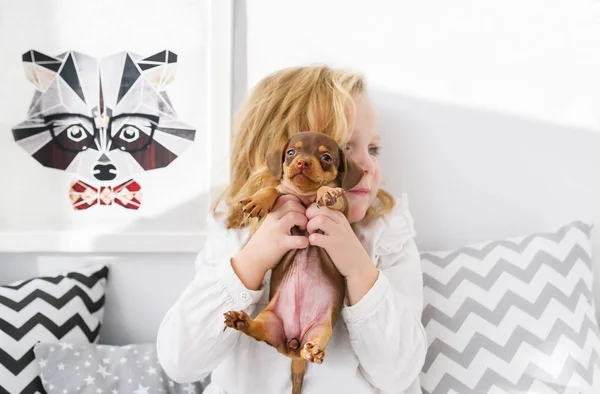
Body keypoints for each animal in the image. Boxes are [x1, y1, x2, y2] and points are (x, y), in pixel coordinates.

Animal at [224, 131, 360, 392]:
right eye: (291, 152)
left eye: (326, 157)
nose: (303, 162)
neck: (304, 196)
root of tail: (294, 348)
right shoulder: (284, 193)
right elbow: (274, 188)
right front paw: (259, 200)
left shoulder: (343, 209)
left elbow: (333, 195)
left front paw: (326, 192)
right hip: (270, 320)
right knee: (257, 331)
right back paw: (241, 321)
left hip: (322, 328)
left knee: (314, 345)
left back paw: (314, 351)